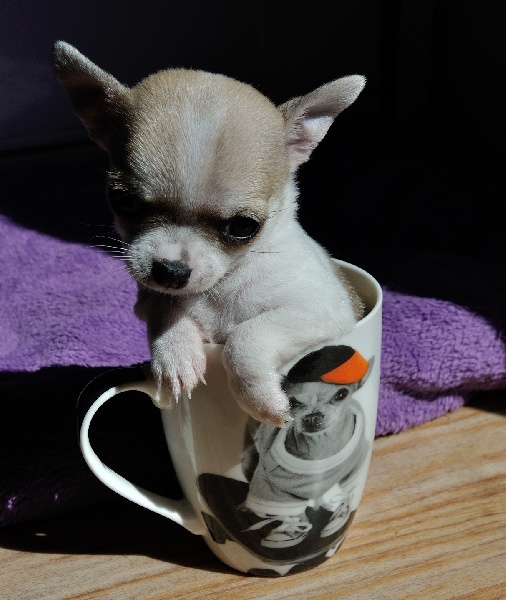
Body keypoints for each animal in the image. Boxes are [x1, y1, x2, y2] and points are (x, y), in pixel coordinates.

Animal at [53, 41, 366, 426]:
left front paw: (262, 400)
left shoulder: (319, 309)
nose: (171, 271)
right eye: (124, 202)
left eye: (243, 228)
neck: (222, 285)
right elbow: (164, 307)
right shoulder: (149, 298)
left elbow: (246, 337)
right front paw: (175, 354)